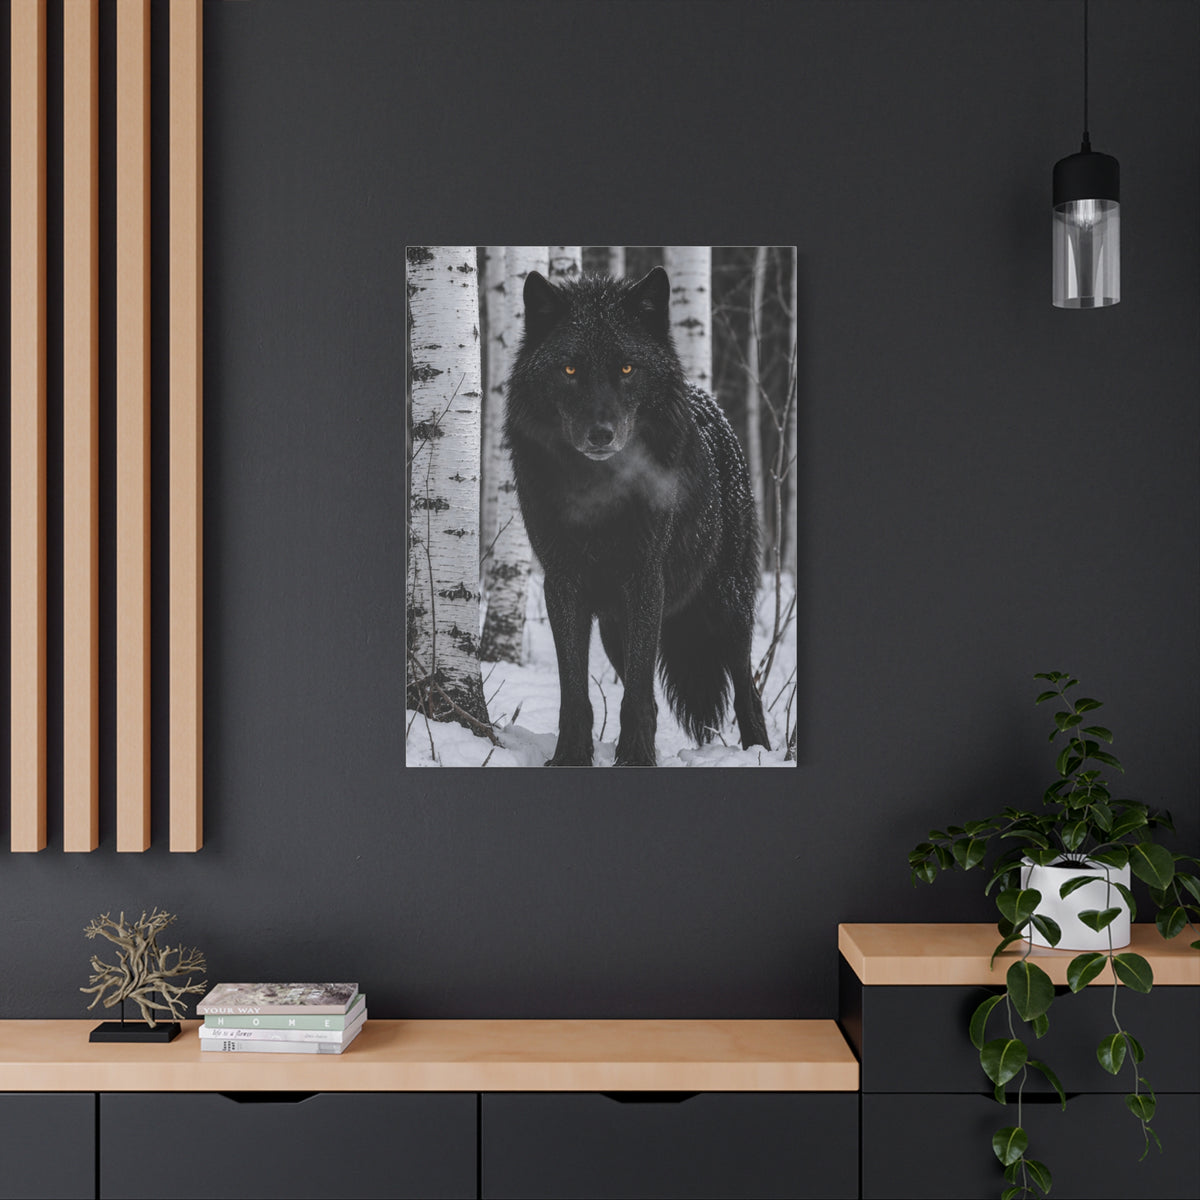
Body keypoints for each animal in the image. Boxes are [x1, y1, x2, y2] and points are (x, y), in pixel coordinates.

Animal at [504, 266, 771, 766]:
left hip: (727, 606)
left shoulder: (646, 579)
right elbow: (576, 691)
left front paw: (636, 758)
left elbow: (639, 692)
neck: (599, 491)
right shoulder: (562, 583)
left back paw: (760, 752)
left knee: (748, 689)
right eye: (570, 369)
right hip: (616, 627)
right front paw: (571, 757)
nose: (601, 434)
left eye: (627, 369)